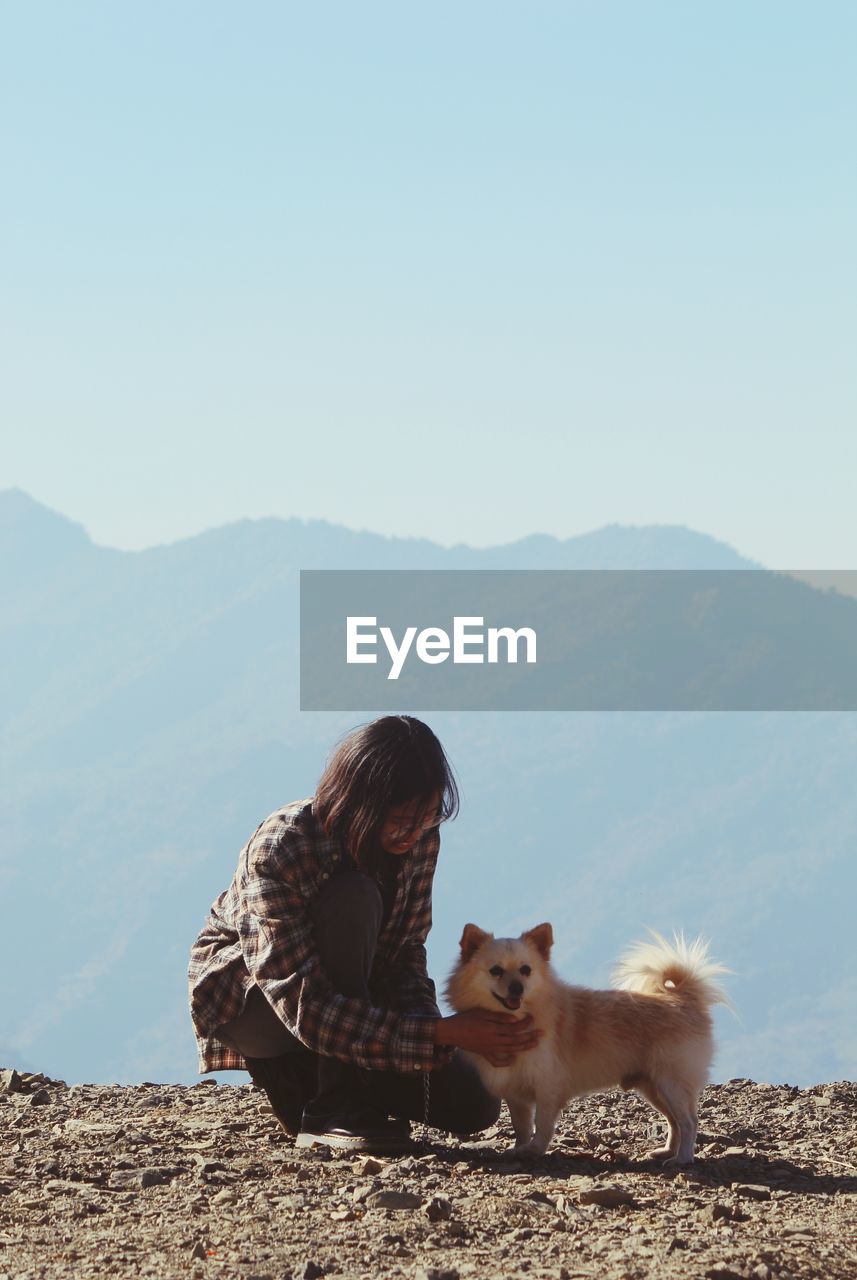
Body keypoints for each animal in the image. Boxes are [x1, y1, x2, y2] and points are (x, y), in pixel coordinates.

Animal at [450, 926, 731, 1167]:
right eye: (495, 971)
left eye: (526, 970)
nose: (517, 987)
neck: (519, 1017)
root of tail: (683, 998)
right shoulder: (516, 1093)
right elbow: (521, 1127)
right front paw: (518, 1149)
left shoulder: (548, 1088)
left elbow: (542, 1124)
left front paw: (534, 1150)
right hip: (653, 1087)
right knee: (674, 1121)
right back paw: (667, 1151)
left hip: (670, 1083)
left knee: (689, 1121)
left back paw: (682, 1158)